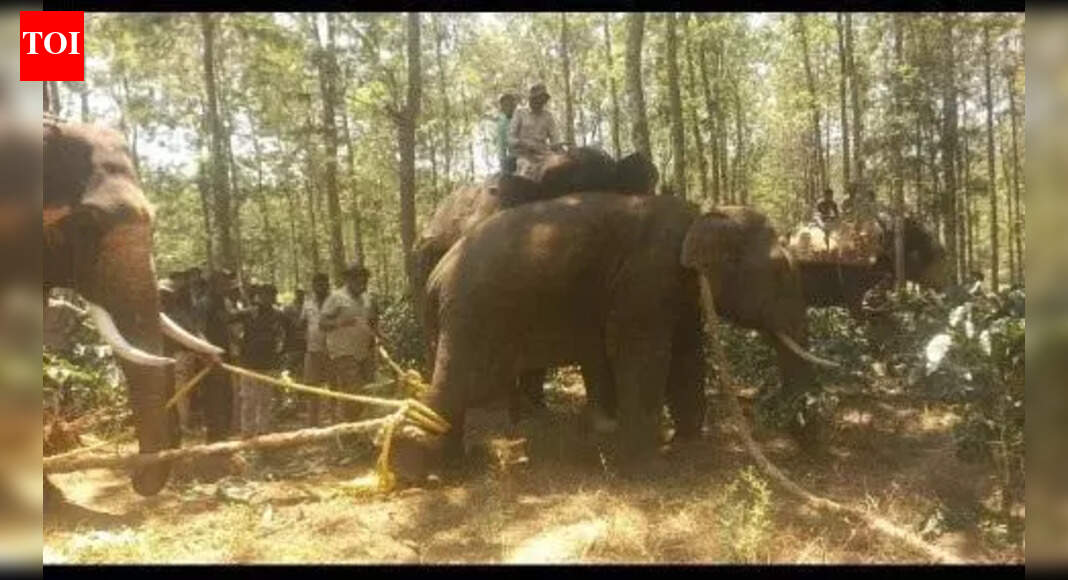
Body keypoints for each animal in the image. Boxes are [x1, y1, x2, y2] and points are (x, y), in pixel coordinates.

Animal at [390, 192, 838, 483]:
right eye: (780, 272)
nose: (807, 436)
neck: (702, 211)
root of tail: (436, 274)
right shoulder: (646, 280)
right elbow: (643, 356)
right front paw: (650, 468)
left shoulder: (678, 291)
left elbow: (687, 353)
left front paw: (689, 442)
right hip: (475, 314)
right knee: (464, 384)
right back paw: (412, 470)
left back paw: (451, 467)